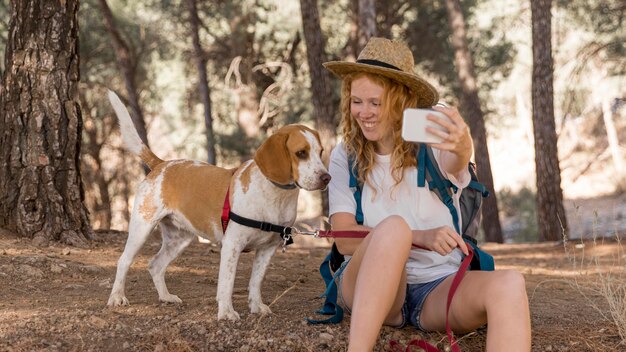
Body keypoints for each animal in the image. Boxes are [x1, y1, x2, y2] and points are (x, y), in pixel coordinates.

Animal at [105, 90, 330, 320]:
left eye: (320, 152)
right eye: (301, 153)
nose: (326, 178)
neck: (276, 196)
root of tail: (161, 164)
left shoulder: (267, 249)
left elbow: (255, 282)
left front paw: (256, 307)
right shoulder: (232, 245)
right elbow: (227, 283)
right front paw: (227, 312)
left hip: (179, 239)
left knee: (155, 265)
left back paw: (166, 297)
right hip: (141, 229)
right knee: (124, 261)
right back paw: (117, 297)